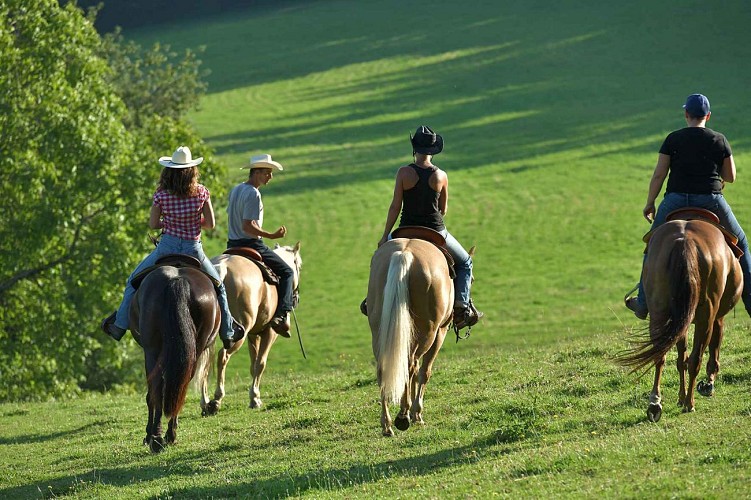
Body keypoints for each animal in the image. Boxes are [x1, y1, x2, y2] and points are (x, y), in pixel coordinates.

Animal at [130, 256, 220, 456]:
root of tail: (177, 281)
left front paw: (148, 435)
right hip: (193, 350)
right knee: (180, 384)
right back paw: (169, 435)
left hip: (152, 350)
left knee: (156, 389)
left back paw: (156, 438)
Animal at [200, 242, 306, 414]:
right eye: (299, 266)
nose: (296, 297)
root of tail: (221, 269)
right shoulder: (269, 332)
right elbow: (260, 363)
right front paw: (255, 399)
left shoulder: (253, 334)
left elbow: (253, 365)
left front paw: (254, 396)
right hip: (238, 334)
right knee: (223, 356)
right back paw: (216, 400)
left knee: (203, 363)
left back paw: (205, 403)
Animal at [368, 230, 456, 438]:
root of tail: (404, 255)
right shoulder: (441, 331)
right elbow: (424, 371)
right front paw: (417, 413)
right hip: (429, 331)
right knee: (411, 365)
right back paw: (403, 414)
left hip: (379, 329)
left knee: (385, 368)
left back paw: (387, 425)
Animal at [620, 209, 744, 424]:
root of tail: (684, 241)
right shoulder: (716, 317)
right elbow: (710, 349)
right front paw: (707, 385)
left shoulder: (680, 320)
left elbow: (680, 359)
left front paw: (679, 396)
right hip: (705, 316)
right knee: (696, 358)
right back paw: (689, 403)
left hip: (660, 313)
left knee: (660, 354)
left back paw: (655, 404)